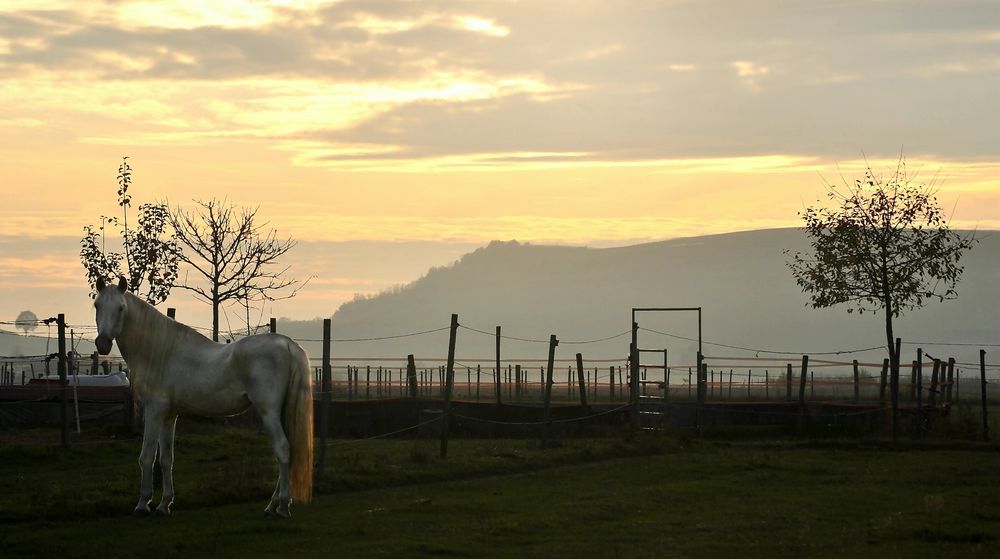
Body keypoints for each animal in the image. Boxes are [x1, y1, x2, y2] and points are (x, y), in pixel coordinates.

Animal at [94, 278, 314, 520]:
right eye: (97, 305)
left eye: (121, 308)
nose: (102, 344)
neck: (160, 352)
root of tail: (287, 344)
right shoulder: (169, 415)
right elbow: (166, 459)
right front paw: (164, 504)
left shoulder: (154, 411)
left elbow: (147, 457)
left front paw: (143, 504)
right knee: (288, 451)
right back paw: (272, 505)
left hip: (269, 413)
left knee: (283, 450)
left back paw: (282, 507)